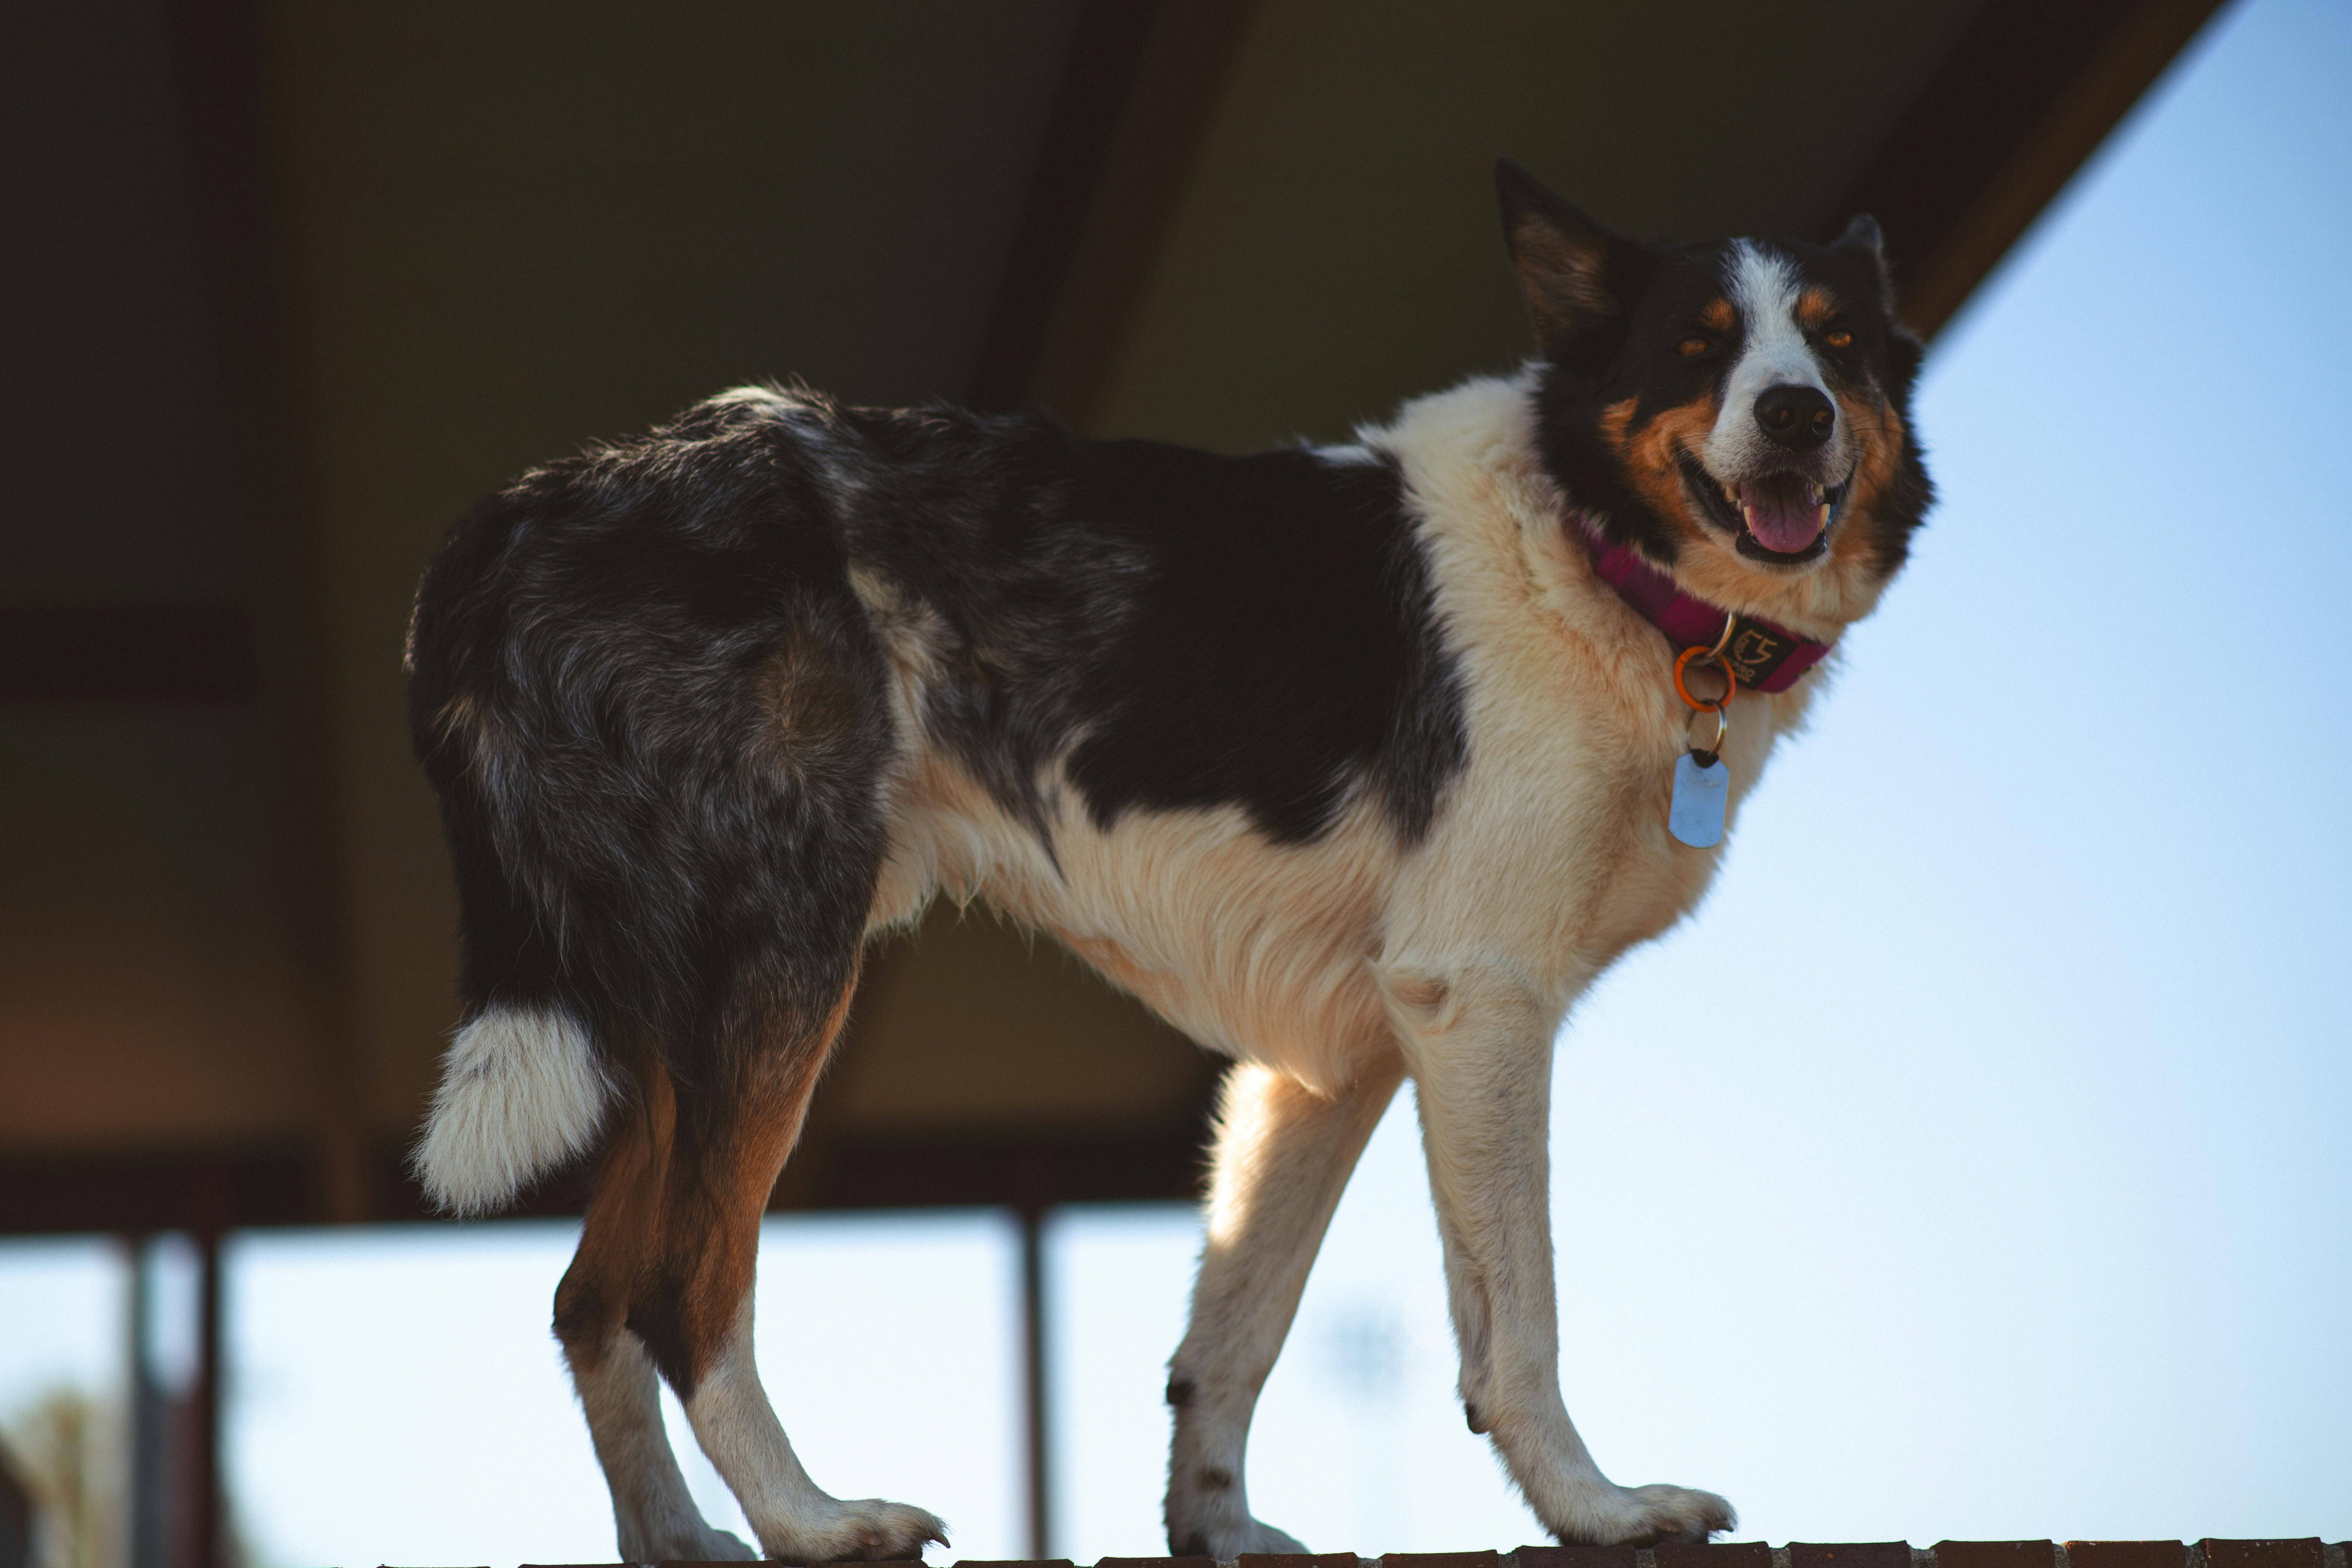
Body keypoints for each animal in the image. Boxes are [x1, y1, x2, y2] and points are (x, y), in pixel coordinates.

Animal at [404, 160, 1928, 1561]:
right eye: (1699, 346)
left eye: (1838, 341)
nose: (1796, 412)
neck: (1585, 543)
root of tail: (538, 501)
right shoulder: (1479, 1000)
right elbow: (1518, 1320)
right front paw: (1595, 1508)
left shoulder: (1337, 1055)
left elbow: (1239, 1327)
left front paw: (1215, 1526)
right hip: (782, 958)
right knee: (682, 1287)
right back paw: (813, 1519)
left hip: (677, 1008)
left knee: (592, 1298)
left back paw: (679, 1539)